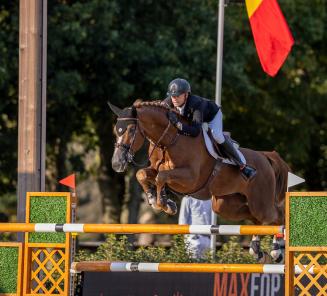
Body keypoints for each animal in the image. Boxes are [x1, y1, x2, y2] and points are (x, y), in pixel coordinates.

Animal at [109, 100, 290, 262]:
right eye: (116, 131)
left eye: (131, 130)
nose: (117, 164)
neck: (171, 140)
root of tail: (266, 157)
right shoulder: (157, 170)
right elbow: (142, 174)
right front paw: (155, 199)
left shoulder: (190, 178)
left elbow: (162, 177)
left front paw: (165, 204)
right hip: (225, 205)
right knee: (257, 220)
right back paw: (257, 249)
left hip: (260, 203)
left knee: (277, 216)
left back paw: (276, 250)